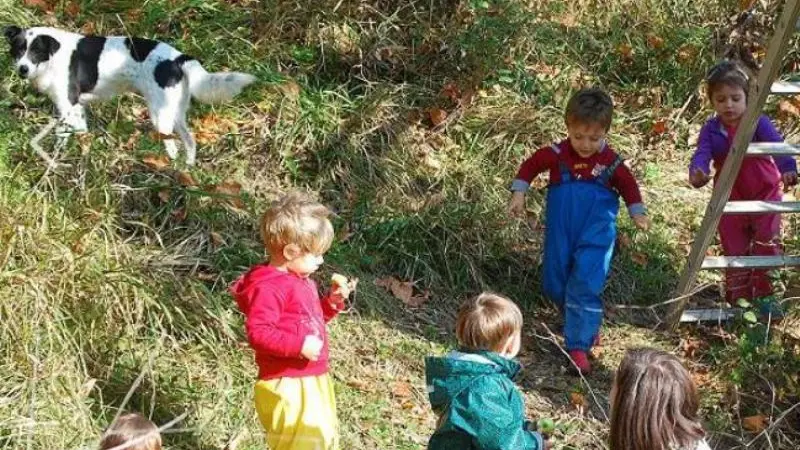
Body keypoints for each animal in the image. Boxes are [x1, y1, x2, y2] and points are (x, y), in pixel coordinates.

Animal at [2, 25, 253, 165]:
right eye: (18, 49)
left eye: (36, 51)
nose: (22, 69)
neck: (52, 57)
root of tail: (177, 57)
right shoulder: (76, 109)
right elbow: (81, 135)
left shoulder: (68, 105)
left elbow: (61, 137)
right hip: (175, 113)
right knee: (190, 142)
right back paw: (188, 170)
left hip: (160, 116)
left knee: (172, 147)